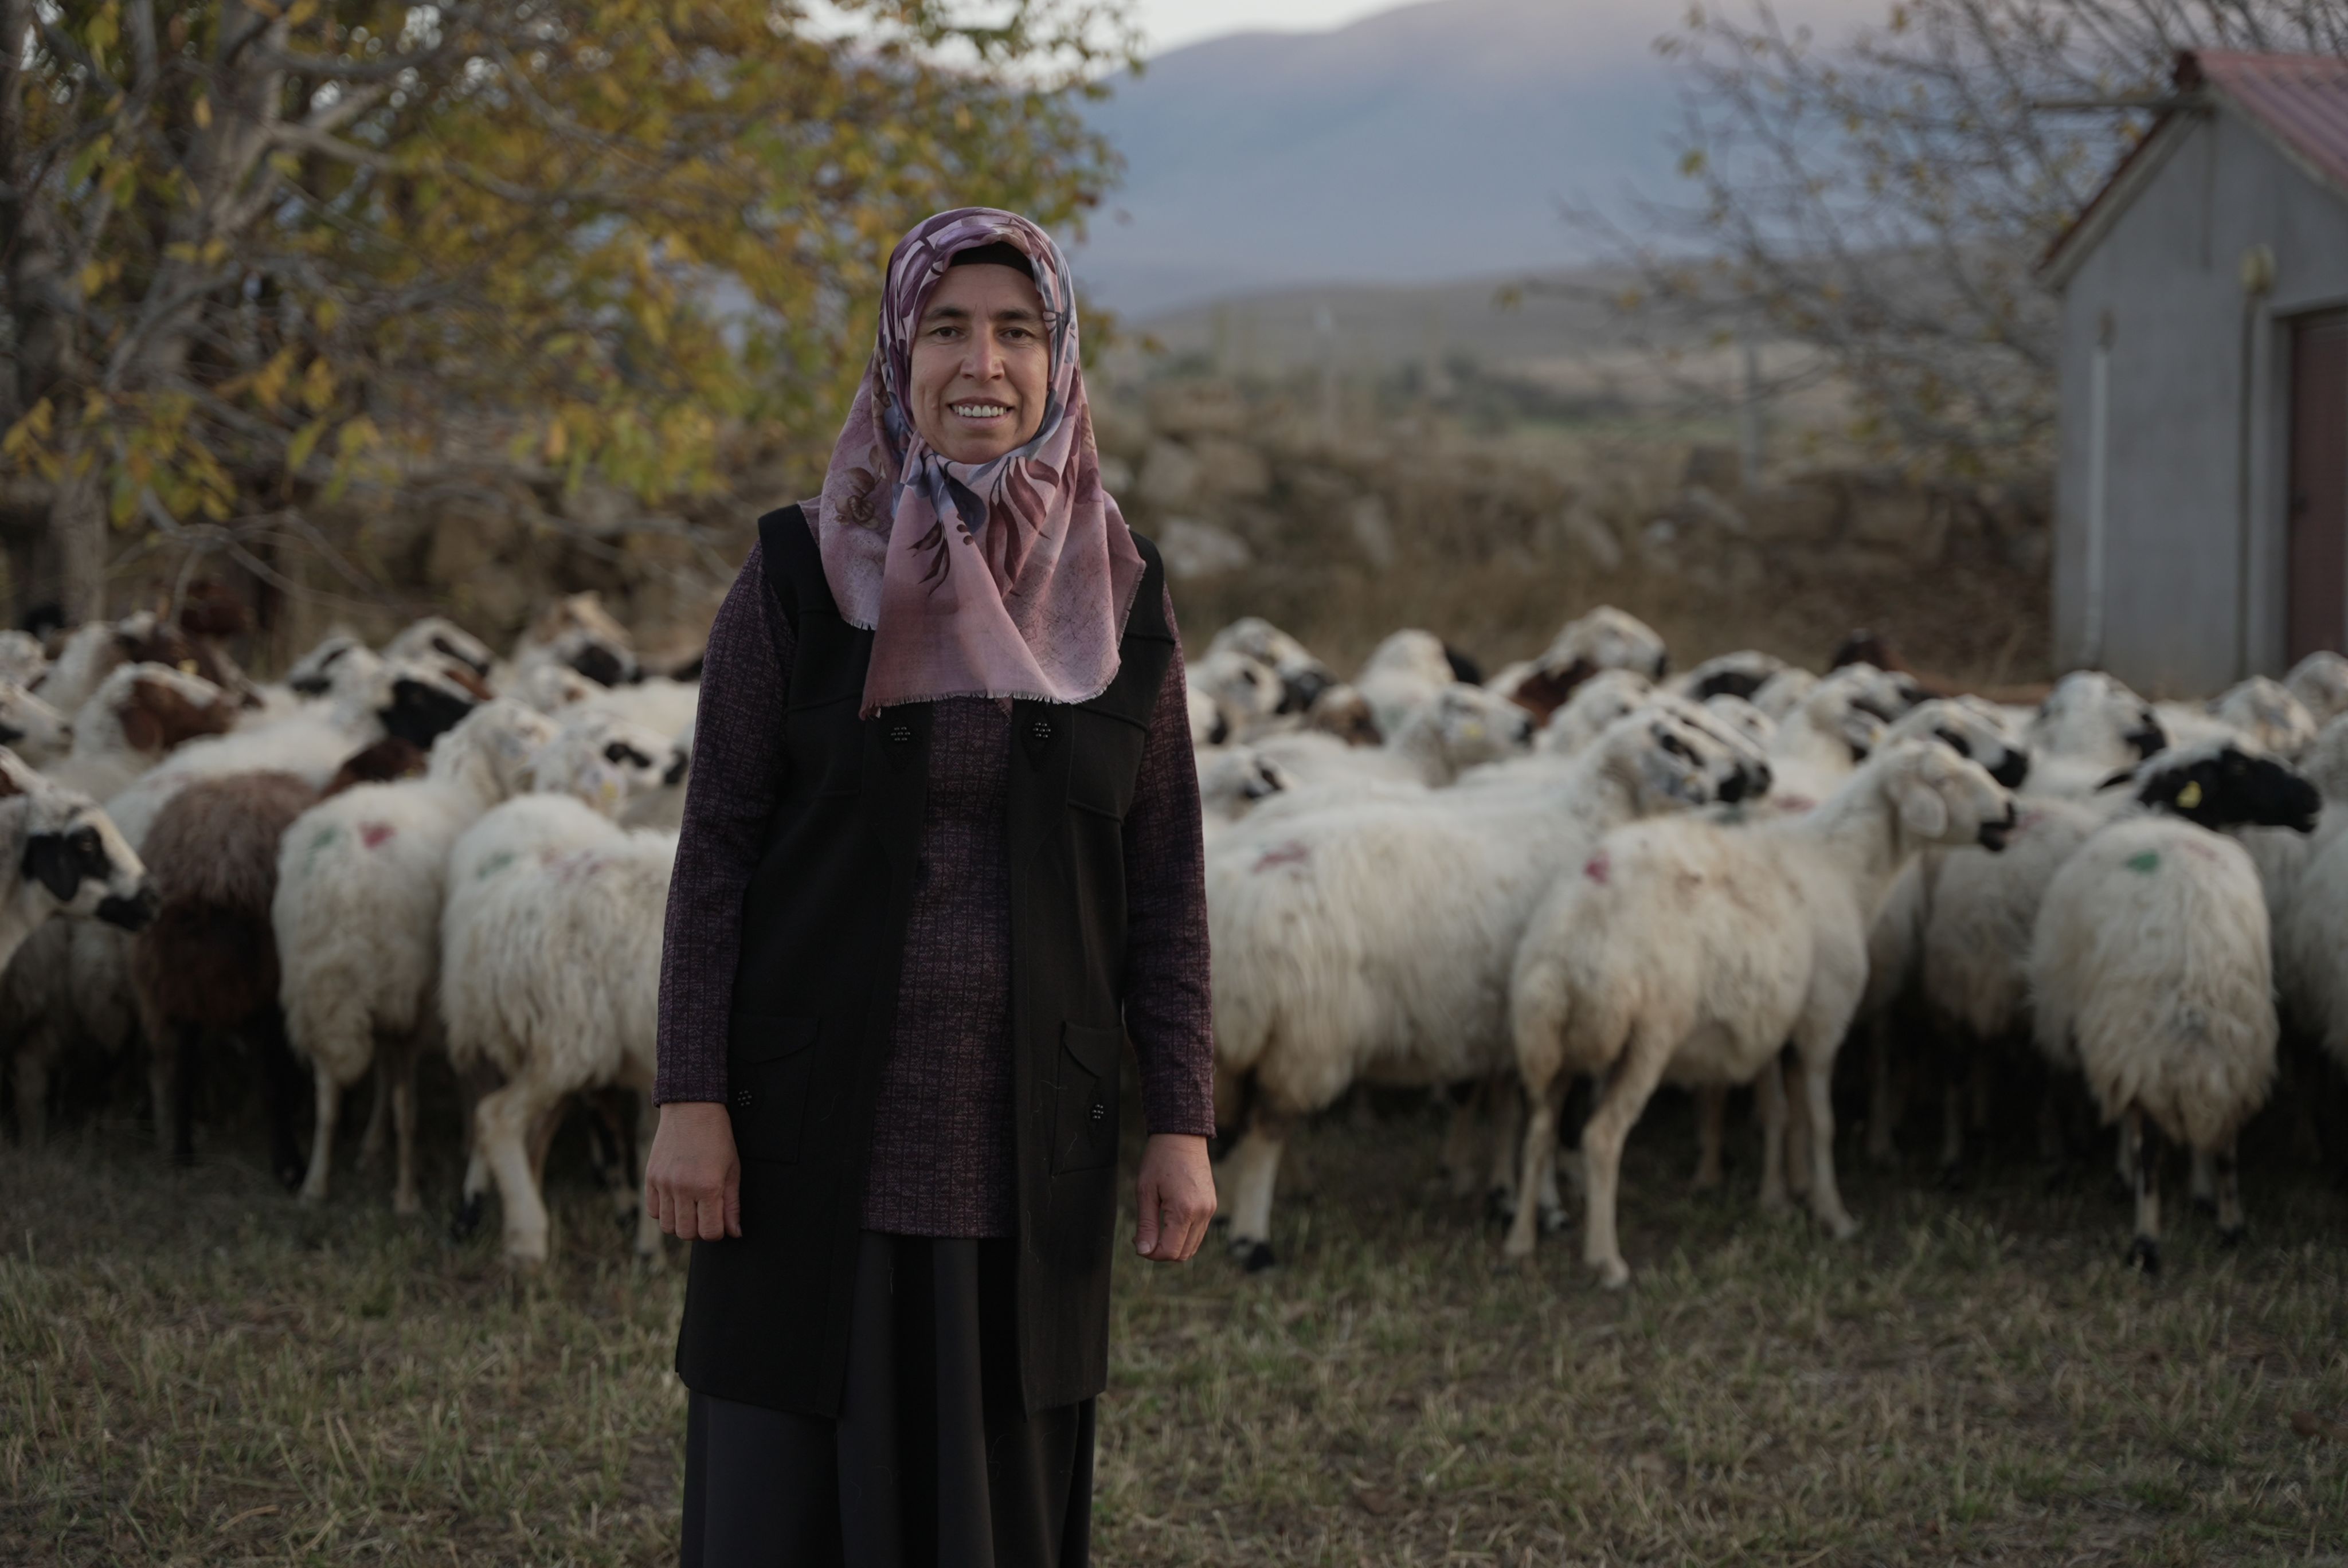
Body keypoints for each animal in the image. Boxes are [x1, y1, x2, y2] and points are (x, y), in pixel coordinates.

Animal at [128, 770, 319, 1173]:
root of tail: (210, 863)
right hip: (262, 983)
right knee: (269, 1073)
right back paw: (288, 1165)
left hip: (169, 985)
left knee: (181, 1066)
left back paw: (182, 1153)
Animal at [273, 699, 563, 1211]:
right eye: (526, 730)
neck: (469, 789)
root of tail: (340, 879)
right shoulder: (434, 994)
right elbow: (452, 1076)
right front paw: (463, 1139)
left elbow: (380, 1076)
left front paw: (370, 1147)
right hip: (401, 983)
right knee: (405, 1100)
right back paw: (406, 1194)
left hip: (319, 989)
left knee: (328, 1094)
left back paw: (315, 1184)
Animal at [1202, 704, 1766, 1267]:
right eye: (1678, 742)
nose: (1753, 776)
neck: (1588, 821)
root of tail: (1227, 904)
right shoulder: (1549, 1026)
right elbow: (1551, 1119)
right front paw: (1546, 1208)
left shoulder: (1509, 1029)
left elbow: (1517, 1114)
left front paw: (1509, 1196)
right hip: (1307, 1034)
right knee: (1264, 1131)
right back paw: (1251, 1238)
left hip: (1242, 1045)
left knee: (1232, 1129)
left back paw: (1239, 1206)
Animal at [1502, 742, 2019, 1277]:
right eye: (1943, 779)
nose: (2010, 809)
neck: (1845, 867)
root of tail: (1571, 937)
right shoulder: (1822, 1020)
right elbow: (1821, 1123)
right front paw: (1833, 1215)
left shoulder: (1773, 1020)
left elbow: (1781, 1113)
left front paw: (1781, 1197)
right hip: (1649, 1035)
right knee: (1601, 1137)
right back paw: (1606, 1259)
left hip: (1555, 1043)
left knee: (1539, 1132)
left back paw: (1521, 1242)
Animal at [2028, 742, 2319, 1267]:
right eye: (2240, 765)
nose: (2312, 797)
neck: (2173, 811)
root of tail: (2195, 960)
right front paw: (2200, 1195)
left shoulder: (2114, 1034)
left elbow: (2129, 1126)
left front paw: (2126, 1180)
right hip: (2232, 1038)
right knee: (2224, 1138)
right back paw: (2230, 1224)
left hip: (2142, 1036)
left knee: (2151, 1144)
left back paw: (2146, 1242)